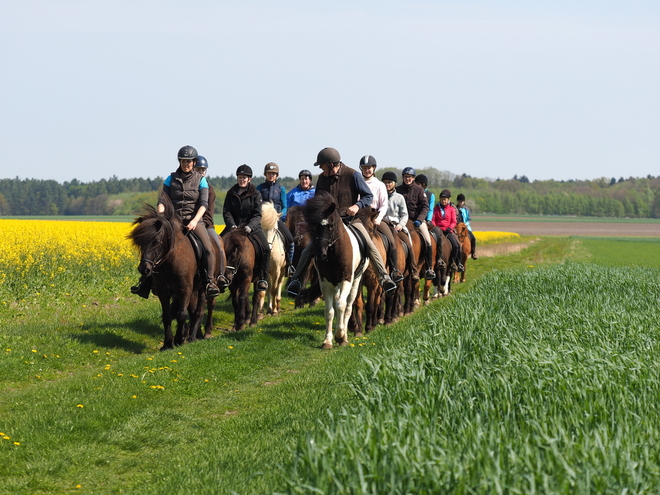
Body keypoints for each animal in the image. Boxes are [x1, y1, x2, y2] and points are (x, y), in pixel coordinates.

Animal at [126, 196, 204, 350]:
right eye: (140, 242)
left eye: (156, 241)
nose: (144, 269)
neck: (170, 263)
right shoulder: (164, 291)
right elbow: (167, 315)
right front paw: (168, 343)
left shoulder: (185, 289)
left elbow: (181, 314)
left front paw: (179, 340)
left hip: (203, 289)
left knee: (197, 312)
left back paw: (192, 337)